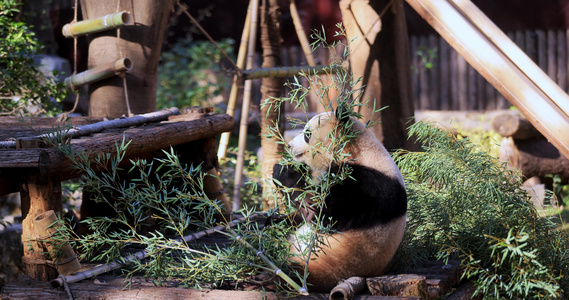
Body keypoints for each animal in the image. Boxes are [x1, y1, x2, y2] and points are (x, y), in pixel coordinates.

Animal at [272, 108, 406, 292]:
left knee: (291, 270)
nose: (289, 145)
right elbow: (300, 215)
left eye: (307, 134)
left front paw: (283, 170)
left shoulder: (366, 187)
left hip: (328, 265)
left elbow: (319, 214)